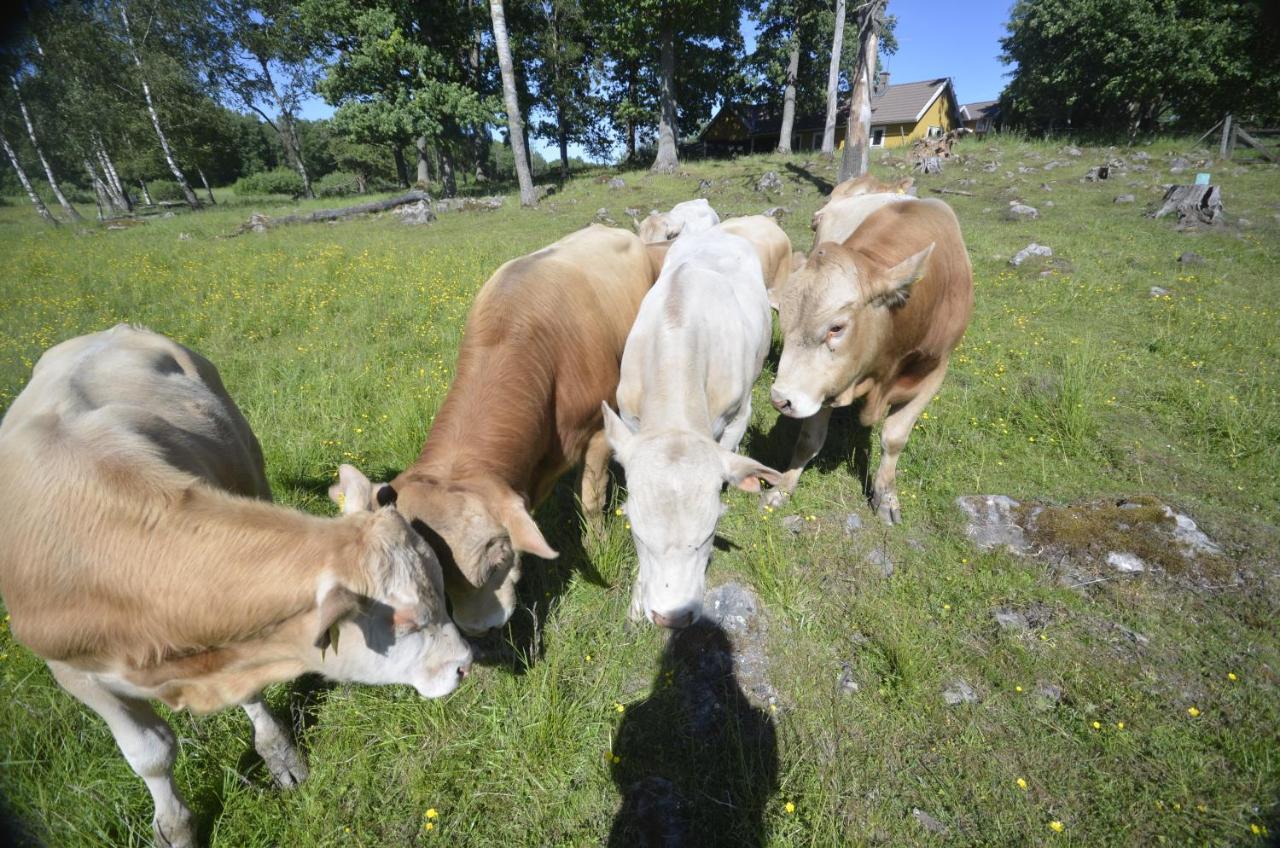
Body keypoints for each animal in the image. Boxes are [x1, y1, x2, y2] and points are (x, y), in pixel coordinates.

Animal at [0, 325, 473, 848]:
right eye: (407, 623)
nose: (465, 664)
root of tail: (114, 329)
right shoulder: (72, 672)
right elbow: (150, 753)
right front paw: (174, 826)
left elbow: (249, 695)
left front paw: (279, 753)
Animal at [762, 201, 972, 525]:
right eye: (783, 322)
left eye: (836, 328)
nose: (780, 400)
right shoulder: (828, 383)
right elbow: (808, 439)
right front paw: (782, 488)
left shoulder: (935, 372)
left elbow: (894, 439)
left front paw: (886, 497)